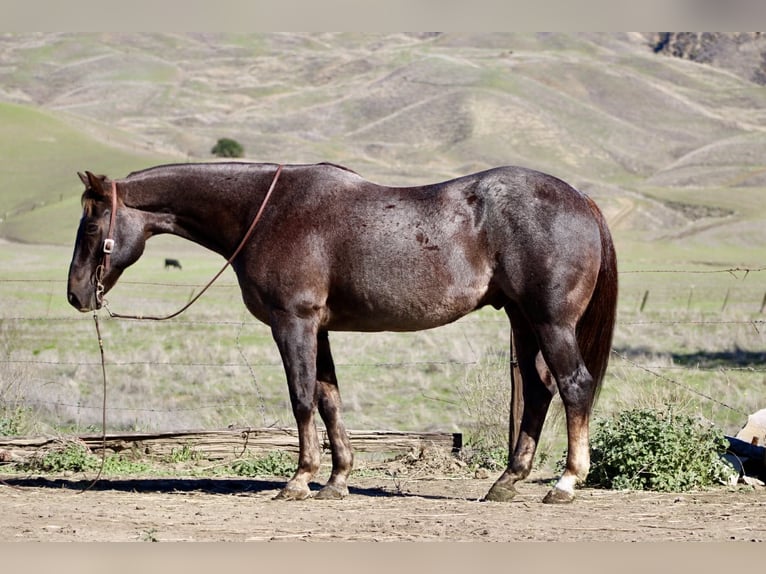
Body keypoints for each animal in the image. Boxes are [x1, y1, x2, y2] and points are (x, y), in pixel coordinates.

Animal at [67, 161, 617, 504]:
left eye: (90, 228)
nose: (75, 294)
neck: (265, 212)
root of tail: (582, 200)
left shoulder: (294, 322)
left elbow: (301, 398)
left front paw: (299, 479)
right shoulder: (320, 328)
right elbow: (328, 397)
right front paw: (337, 479)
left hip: (550, 322)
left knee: (573, 386)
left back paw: (565, 483)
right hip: (523, 320)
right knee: (540, 391)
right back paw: (507, 481)